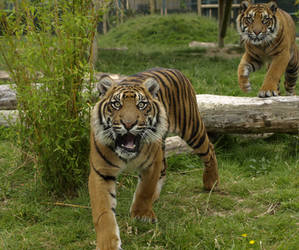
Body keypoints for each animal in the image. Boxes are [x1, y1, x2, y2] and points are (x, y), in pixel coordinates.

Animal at [89, 67, 220, 249]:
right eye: (116, 104)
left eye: (141, 105)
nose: (128, 124)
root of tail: (173, 69)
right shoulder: (101, 172)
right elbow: (103, 212)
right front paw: (107, 243)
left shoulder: (150, 164)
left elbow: (145, 190)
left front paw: (141, 214)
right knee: (164, 168)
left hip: (192, 128)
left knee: (209, 149)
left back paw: (211, 181)